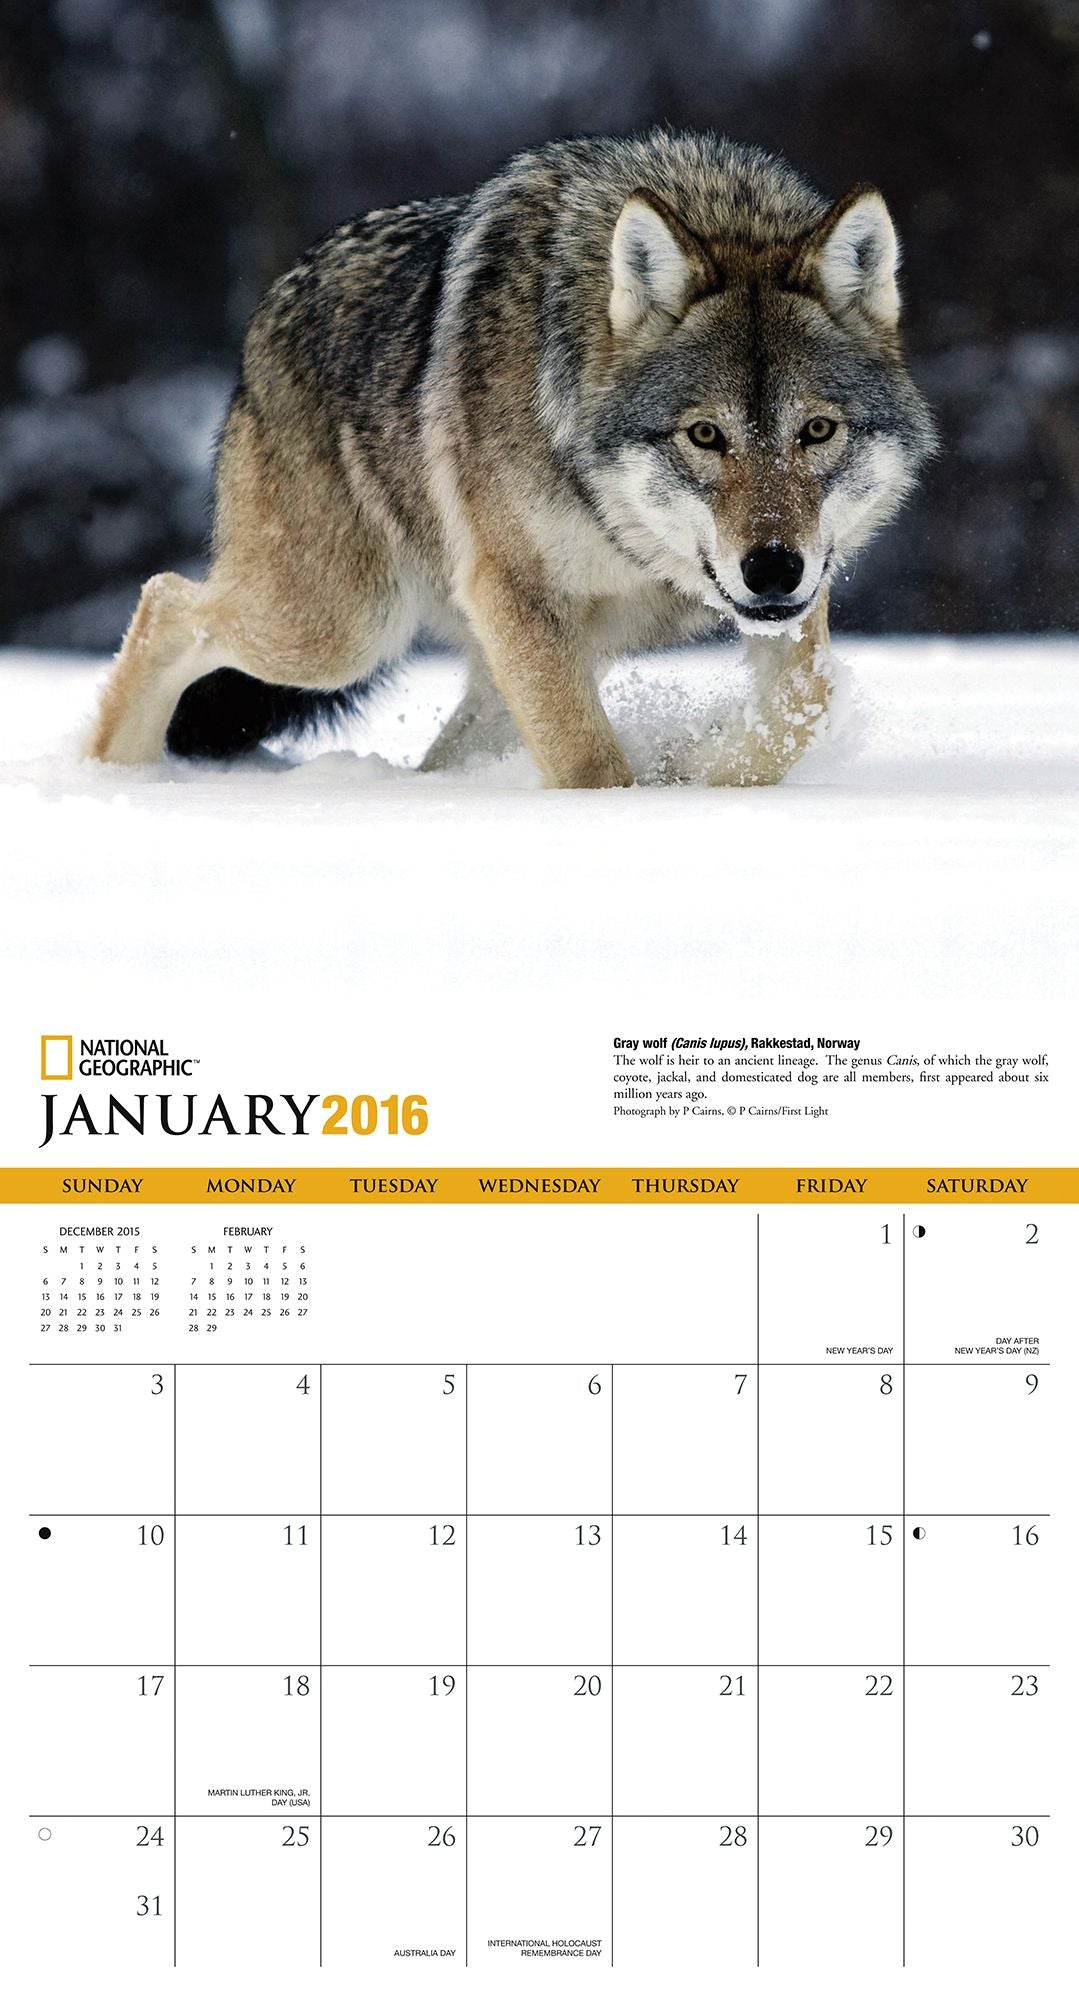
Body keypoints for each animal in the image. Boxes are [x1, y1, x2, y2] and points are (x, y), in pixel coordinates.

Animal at [90, 129, 935, 787]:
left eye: (816, 431)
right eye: (704, 436)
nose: (771, 569)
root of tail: (264, 316)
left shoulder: (794, 598)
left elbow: (801, 709)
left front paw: (694, 774)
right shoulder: (516, 591)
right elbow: (589, 767)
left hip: (495, 659)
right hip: (342, 631)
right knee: (165, 598)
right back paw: (110, 774)